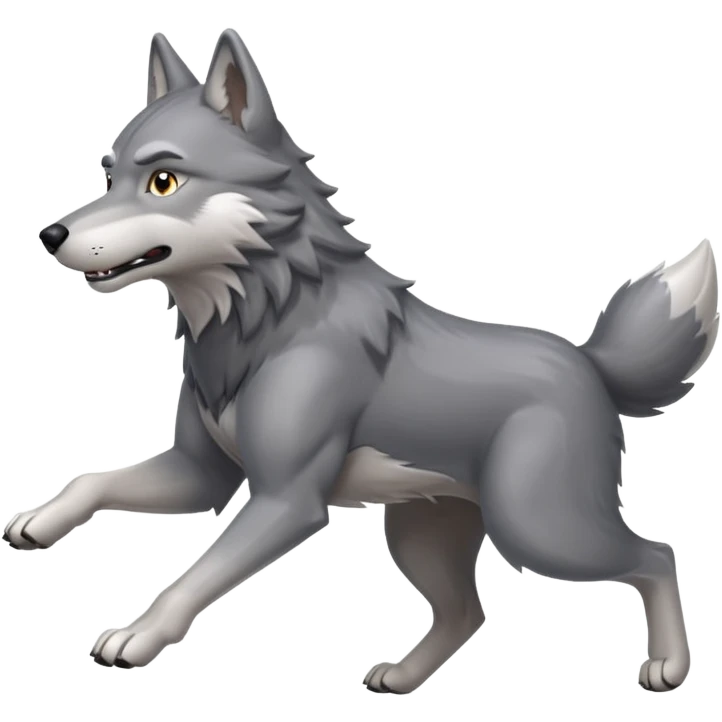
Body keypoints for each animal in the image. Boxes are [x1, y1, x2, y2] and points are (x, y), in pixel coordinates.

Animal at [11, 28, 717, 693]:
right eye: (109, 176)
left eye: (162, 180)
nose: (50, 234)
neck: (264, 315)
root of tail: (587, 361)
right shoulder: (199, 475)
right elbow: (93, 479)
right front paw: (40, 519)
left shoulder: (286, 500)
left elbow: (194, 573)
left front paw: (138, 634)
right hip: (420, 533)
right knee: (468, 612)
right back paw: (402, 678)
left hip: (541, 529)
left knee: (656, 555)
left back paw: (668, 666)